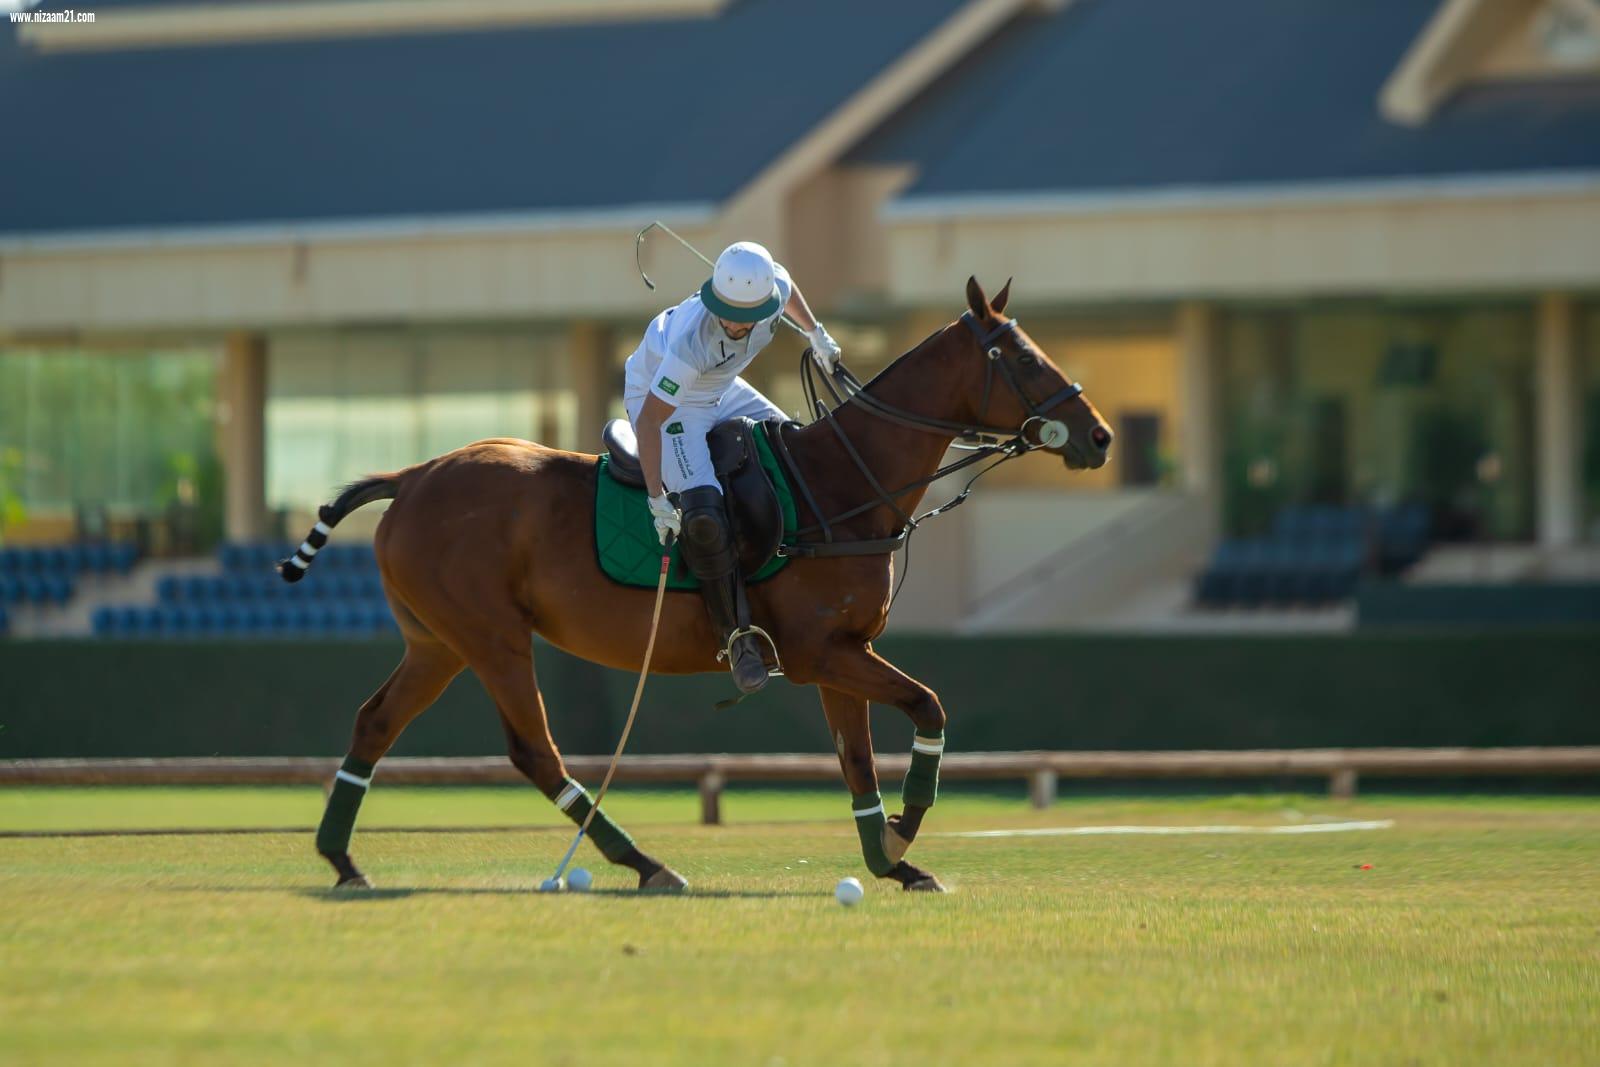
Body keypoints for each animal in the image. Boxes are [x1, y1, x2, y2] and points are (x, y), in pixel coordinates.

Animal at [288, 279, 1113, 895]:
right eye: (1018, 356)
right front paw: (905, 830)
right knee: (535, 751)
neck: (842, 483)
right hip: (492, 637)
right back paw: (644, 862)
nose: (1099, 436)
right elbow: (928, 704)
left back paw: (343, 859)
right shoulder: (818, 652)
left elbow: (857, 759)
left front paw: (890, 859)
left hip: (438, 641)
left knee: (375, 722)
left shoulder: (842, 652)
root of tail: (412, 475)